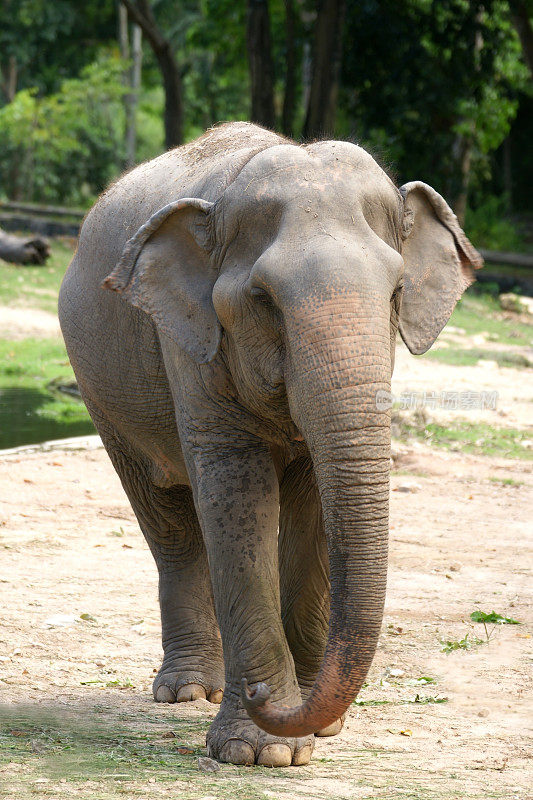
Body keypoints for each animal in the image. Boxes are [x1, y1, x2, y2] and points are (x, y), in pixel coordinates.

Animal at [58, 123, 482, 768]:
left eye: (396, 294)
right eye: (264, 300)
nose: (260, 694)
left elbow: (314, 508)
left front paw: (318, 729)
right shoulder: (191, 345)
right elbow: (238, 498)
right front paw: (262, 752)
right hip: (101, 394)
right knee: (168, 520)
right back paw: (188, 693)